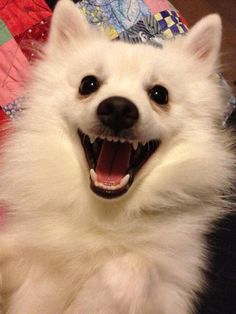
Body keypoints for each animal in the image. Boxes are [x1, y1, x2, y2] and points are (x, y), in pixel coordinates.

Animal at [0, 0, 234, 314]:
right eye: (88, 84)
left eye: (160, 94)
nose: (119, 108)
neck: (107, 212)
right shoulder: (22, 248)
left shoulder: (171, 293)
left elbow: (132, 266)